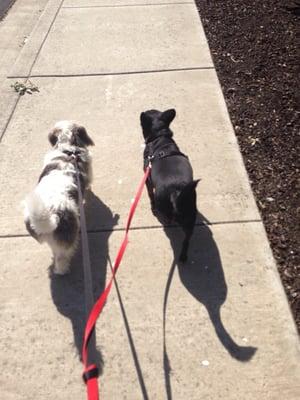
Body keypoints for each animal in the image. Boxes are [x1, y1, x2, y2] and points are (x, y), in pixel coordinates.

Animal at [23, 120, 94, 274]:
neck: (68, 148)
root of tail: (51, 213)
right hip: (68, 238)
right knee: (62, 257)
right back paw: (62, 270)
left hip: (51, 239)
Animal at [141, 108, 199, 262]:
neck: (160, 138)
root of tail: (175, 192)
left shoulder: (147, 179)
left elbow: (150, 195)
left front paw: (152, 207)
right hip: (190, 219)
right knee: (187, 240)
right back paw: (183, 256)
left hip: (165, 208)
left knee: (167, 220)